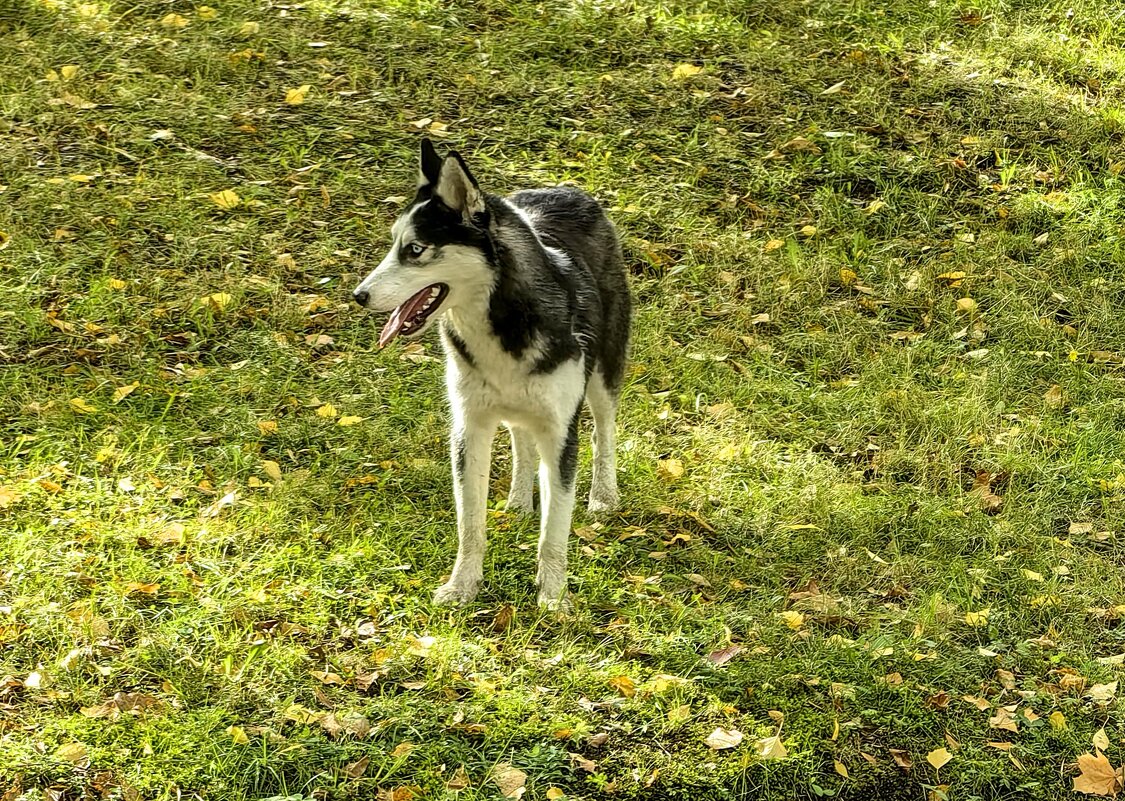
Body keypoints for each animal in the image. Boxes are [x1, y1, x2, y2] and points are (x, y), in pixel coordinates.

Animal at [353, 142, 634, 607]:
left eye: (415, 250)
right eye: (394, 244)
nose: (359, 295)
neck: (502, 320)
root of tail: (568, 189)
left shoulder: (561, 432)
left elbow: (554, 532)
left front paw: (552, 597)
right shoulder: (470, 428)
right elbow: (470, 524)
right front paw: (463, 585)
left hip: (604, 374)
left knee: (604, 431)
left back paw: (604, 495)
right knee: (522, 440)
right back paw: (519, 501)